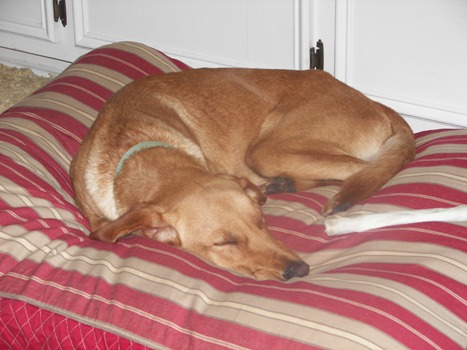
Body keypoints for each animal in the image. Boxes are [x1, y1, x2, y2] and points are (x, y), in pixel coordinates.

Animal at [70, 68, 416, 282]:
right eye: (225, 243)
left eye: (260, 221)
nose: (299, 270)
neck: (137, 148)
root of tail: (379, 105)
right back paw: (284, 182)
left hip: (265, 150)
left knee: (365, 170)